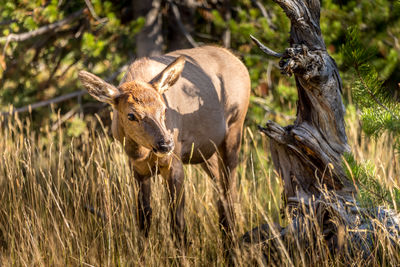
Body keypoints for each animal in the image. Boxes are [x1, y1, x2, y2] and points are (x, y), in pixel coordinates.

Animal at [78, 46, 250, 245]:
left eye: (164, 109)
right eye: (131, 115)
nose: (165, 144)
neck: (141, 153)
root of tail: (238, 61)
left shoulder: (174, 163)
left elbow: (178, 223)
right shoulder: (137, 169)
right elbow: (144, 219)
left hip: (235, 128)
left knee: (230, 191)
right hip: (206, 152)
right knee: (221, 193)